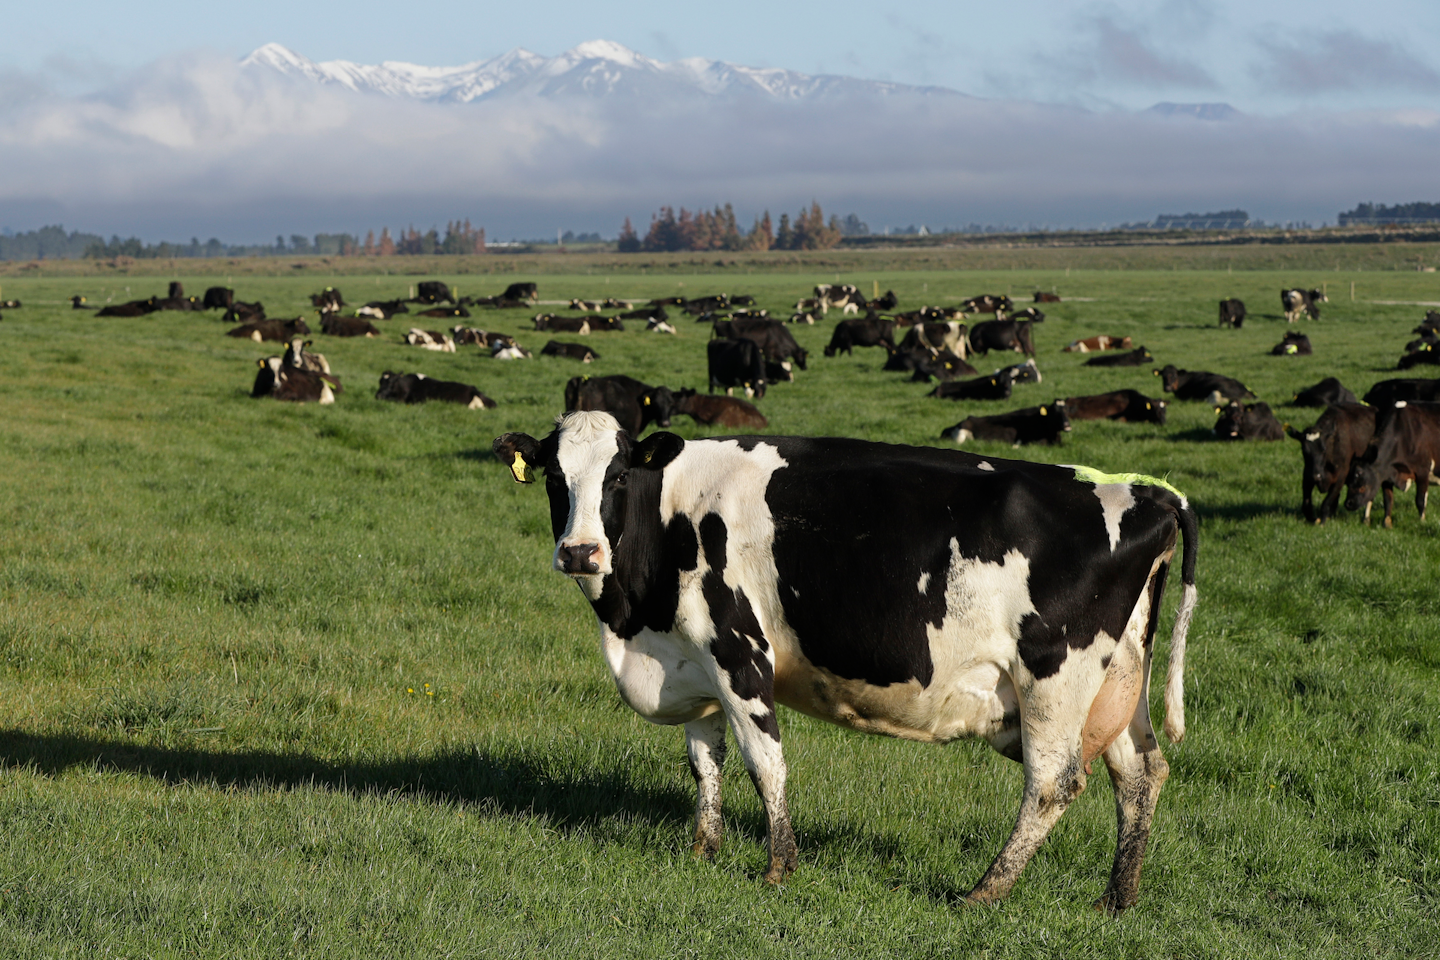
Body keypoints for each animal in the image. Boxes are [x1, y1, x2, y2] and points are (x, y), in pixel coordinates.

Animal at [489, 408, 1198, 915]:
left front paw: (778, 868)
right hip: (1116, 682)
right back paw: (1115, 899)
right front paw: (702, 851)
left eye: (616, 477)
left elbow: (764, 761)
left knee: (1054, 782)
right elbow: (705, 761)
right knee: (1141, 774)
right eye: (554, 478)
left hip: (1054, 673)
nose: (580, 552)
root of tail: (1148, 493)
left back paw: (985, 891)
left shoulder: (738, 650)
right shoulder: (691, 660)